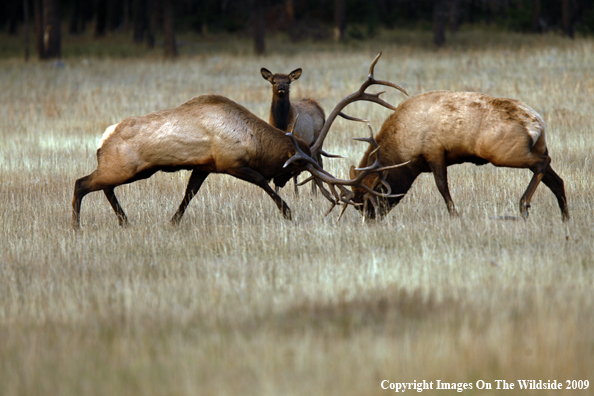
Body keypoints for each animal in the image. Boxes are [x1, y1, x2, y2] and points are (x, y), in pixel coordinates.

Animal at [70, 52, 408, 229]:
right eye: (294, 166)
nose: (283, 179)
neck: (253, 140)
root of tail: (103, 137)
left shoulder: (204, 166)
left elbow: (188, 194)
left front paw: (174, 222)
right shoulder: (230, 162)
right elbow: (261, 182)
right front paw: (287, 212)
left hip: (134, 170)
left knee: (103, 187)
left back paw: (124, 221)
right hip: (124, 166)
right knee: (81, 183)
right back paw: (76, 226)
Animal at [344, 90, 568, 223]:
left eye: (368, 199)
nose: (370, 221)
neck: (403, 147)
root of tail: (537, 123)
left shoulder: (434, 151)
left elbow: (442, 187)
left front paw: (455, 216)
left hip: (504, 152)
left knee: (543, 164)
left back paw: (524, 206)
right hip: (538, 147)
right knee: (557, 180)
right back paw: (565, 218)